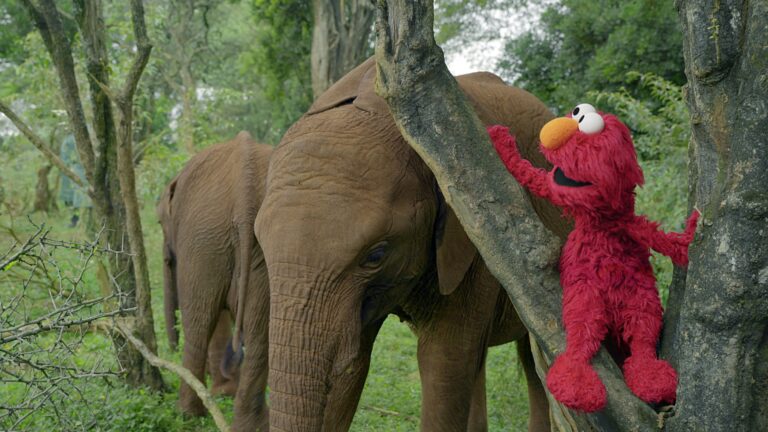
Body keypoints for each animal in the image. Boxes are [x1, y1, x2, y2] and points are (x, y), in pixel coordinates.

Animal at [156, 131, 271, 429]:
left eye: (160, 224)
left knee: (198, 323)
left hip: (203, 239)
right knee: (260, 336)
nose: (169, 350)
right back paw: (252, 424)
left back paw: (187, 414)